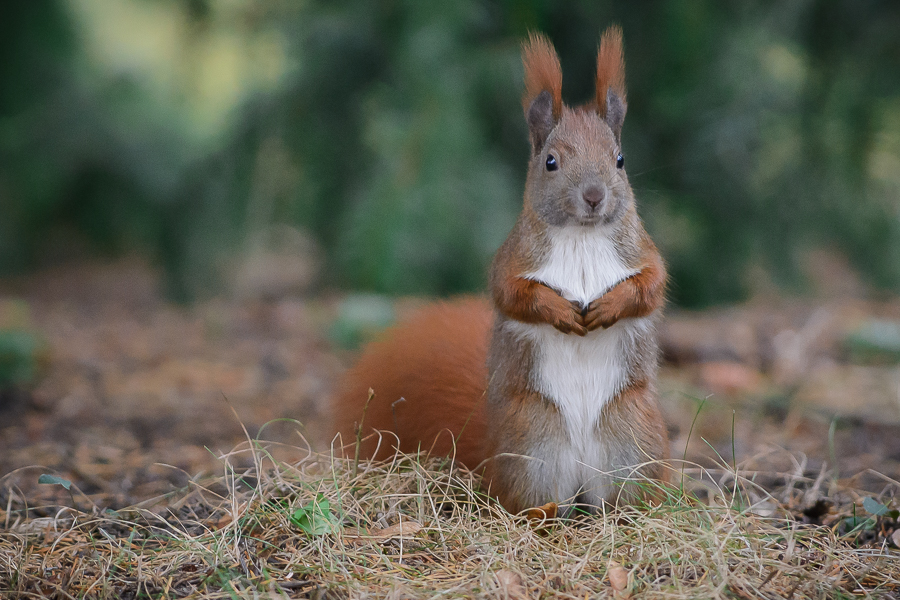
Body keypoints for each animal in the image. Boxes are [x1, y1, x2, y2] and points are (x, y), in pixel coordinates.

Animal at [330, 28, 668, 512]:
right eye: (550, 161)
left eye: (619, 159)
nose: (593, 196)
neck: (582, 235)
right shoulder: (513, 259)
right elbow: (512, 294)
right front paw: (560, 311)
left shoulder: (642, 252)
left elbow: (651, 285)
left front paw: (608, 306)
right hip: (533, 444)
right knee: (533, 498)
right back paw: (543, 513)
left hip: (630, 440)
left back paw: (624, 513)